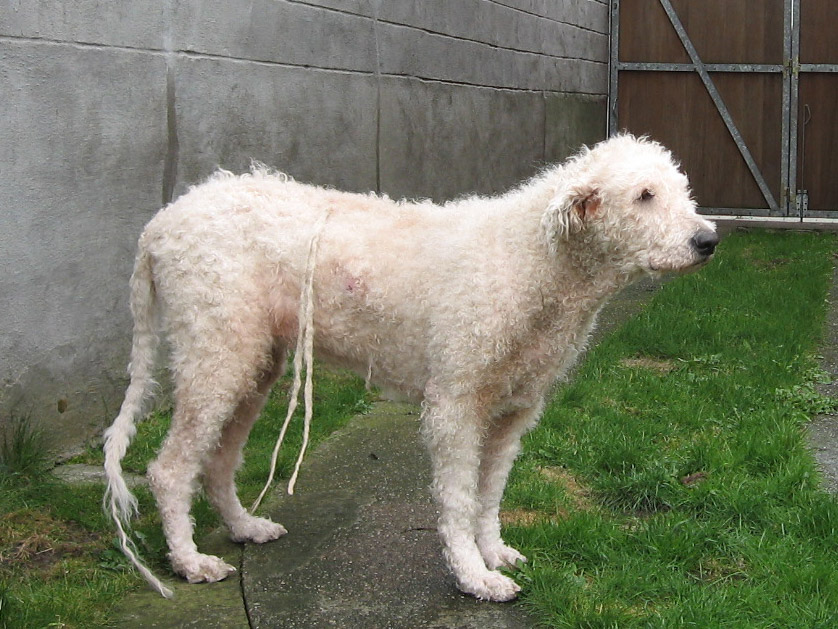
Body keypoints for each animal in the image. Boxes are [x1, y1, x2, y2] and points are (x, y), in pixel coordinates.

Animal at [105, 135, 720, 600]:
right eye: (644, 196)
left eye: (680, 189)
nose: (709, 240)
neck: (531, 260)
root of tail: (163, 220)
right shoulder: (455, 404)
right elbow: (457, 498)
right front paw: (475, 577)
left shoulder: (515, 407)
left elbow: (489, 491)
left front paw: (494, 551)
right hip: (217, 355)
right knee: (171, 468)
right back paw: (190, 562)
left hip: (254, 364)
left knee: (218, 460)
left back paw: (243, 528)